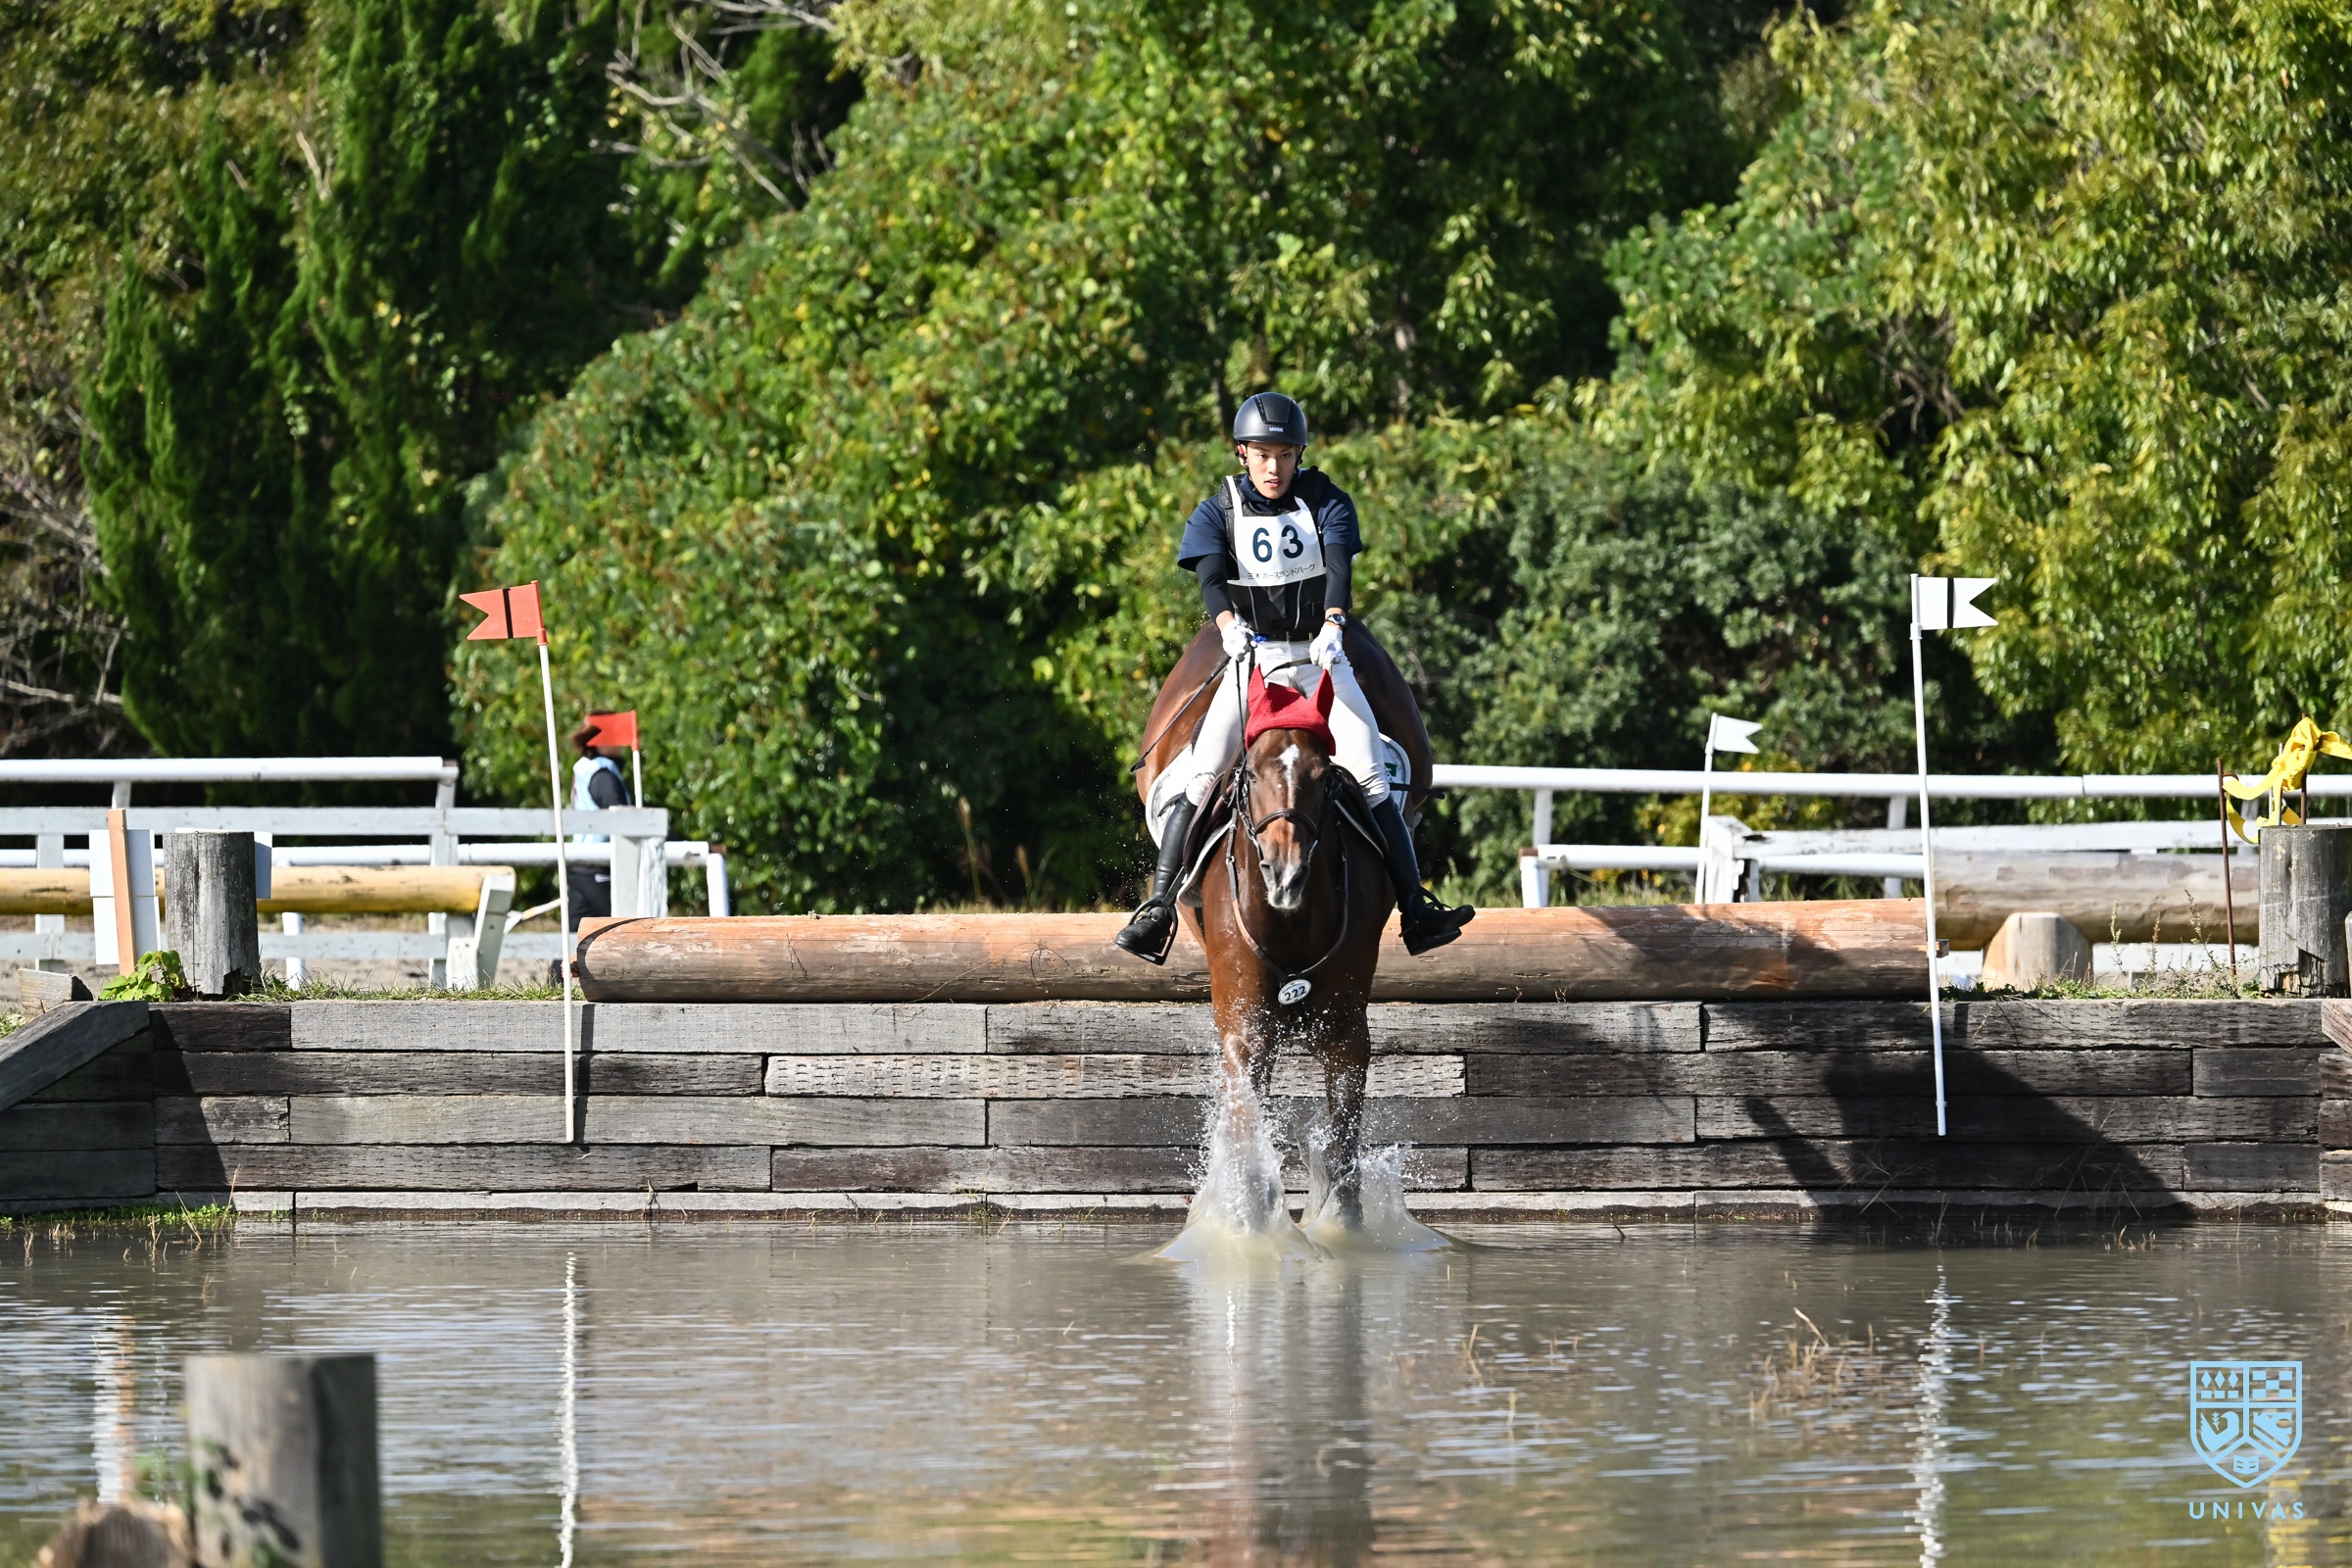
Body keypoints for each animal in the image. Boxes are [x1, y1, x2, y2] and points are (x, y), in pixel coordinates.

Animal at [1134, 622, 1435, 1240]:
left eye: (1324, 777)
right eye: (1251, 772)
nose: (1285, 871)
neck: (1293, 915)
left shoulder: (1346, 1034)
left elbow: (1342, 1151)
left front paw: (1342, 1237)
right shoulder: (1246, 1034)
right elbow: (1250, 1151)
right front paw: (1249, 1237)